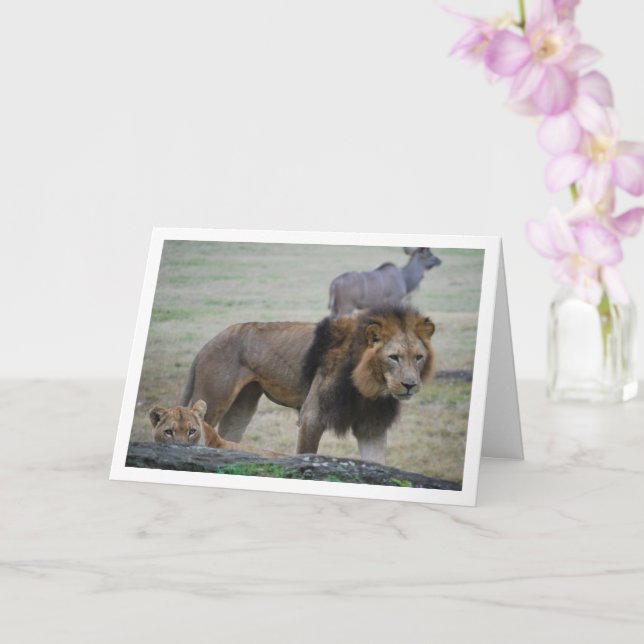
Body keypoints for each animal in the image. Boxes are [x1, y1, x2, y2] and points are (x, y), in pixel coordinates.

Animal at [179, 306, 435, 464]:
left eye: (419, 357)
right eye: (394, 357)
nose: (410, 385)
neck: (369, 384)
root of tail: (206, 345)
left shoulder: (371, 426)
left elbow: (378, 461)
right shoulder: (312, 416)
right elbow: (306, 453)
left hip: (244, 404)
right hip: (212, 400)